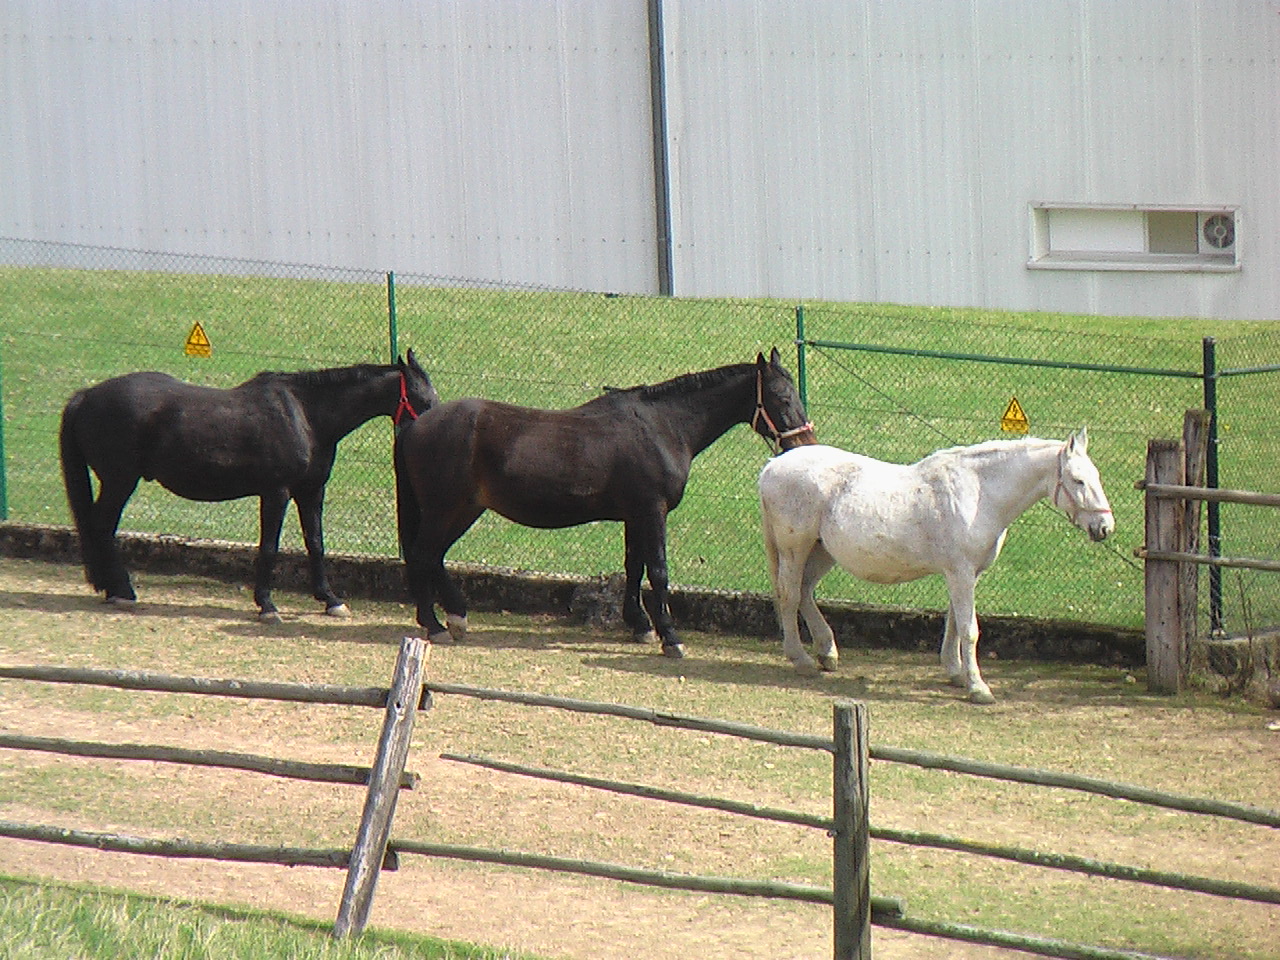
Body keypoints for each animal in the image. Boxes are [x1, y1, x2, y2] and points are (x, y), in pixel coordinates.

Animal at [61, 353, 440, 624]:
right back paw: (120, 590)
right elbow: (269, 547)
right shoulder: (276, 492)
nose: (435, 428)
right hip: (120, 480)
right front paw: (267, 605)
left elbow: (316, 544)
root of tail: (85, 396)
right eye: (423, 399)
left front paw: (330, 600)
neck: (306, 415)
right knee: (102, 526)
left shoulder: (310, 491)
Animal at [396, 350, 819, 660]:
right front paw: (670, 636)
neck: (662, 427)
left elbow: (634, 567)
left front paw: (640, 626)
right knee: (423, 554)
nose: (804, 444)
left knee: (432, 556)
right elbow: (658, 571)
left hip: (463, 509)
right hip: (447, 508)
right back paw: (436, 624)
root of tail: (417, 425)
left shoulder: (635, 515)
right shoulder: (652, 512)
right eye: (782, 397)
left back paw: (453, 617)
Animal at [757, 432, 1111, 701]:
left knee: (804, 591)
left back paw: (827, 652)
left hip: (821, 551)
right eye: (1079, 480)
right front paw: (978, 687)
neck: (979, 493)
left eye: (1097, 477)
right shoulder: (961, 574)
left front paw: (956, 672)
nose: (1105, 527)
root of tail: (773, 466)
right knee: (789, 594)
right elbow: (969, 630)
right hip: (794, 548)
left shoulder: (965, 574)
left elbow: (954, 622)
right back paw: (801, 659)